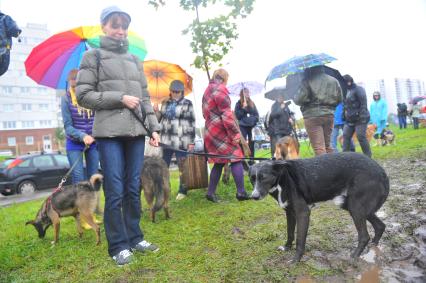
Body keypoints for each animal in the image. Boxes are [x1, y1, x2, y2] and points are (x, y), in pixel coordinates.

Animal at [250, 153, 390, 264]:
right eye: (252, 179)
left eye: (264, 177)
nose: (254, 196)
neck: (282, 179)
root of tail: (381, 171)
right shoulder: (289, 213)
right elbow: (290, 233)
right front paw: (286, 247)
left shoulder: (303, 213)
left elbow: (300, 240)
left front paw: (296, 260)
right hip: (353, 206)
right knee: (380, 225)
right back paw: (373, 245)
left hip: (355, 208)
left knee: (364, 236)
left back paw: (354, 256)